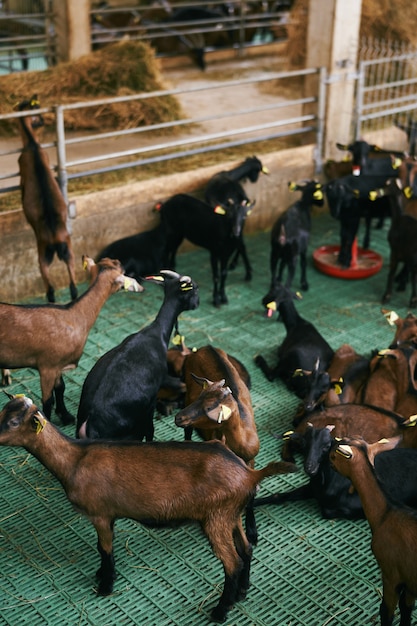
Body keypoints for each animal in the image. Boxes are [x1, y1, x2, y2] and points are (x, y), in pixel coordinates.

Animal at [0, 255, 141, 424]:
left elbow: (61, 388)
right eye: (120, 268)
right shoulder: (47, 366)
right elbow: (47, 401)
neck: (75, 315)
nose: (121, 262)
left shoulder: (58, 366)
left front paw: (65, 415)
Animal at [0, 392, 298, 620]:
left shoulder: (100, 514)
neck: (75, 459)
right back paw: (242, 592)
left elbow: (104, 549)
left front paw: (105, 585)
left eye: (13, 422)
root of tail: (250, 475)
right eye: (4, 411)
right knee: (246, 549)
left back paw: (220, 611)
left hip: (216, 519)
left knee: (232, 563)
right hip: (231, 515)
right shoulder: (108, 517)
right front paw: (100, 575)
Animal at [15, 93, 77, 304]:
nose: (42, 121)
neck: (32, 145)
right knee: (72, 279)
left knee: (47, 280)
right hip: (68, 248)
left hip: (42, 252)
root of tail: (55, 238)